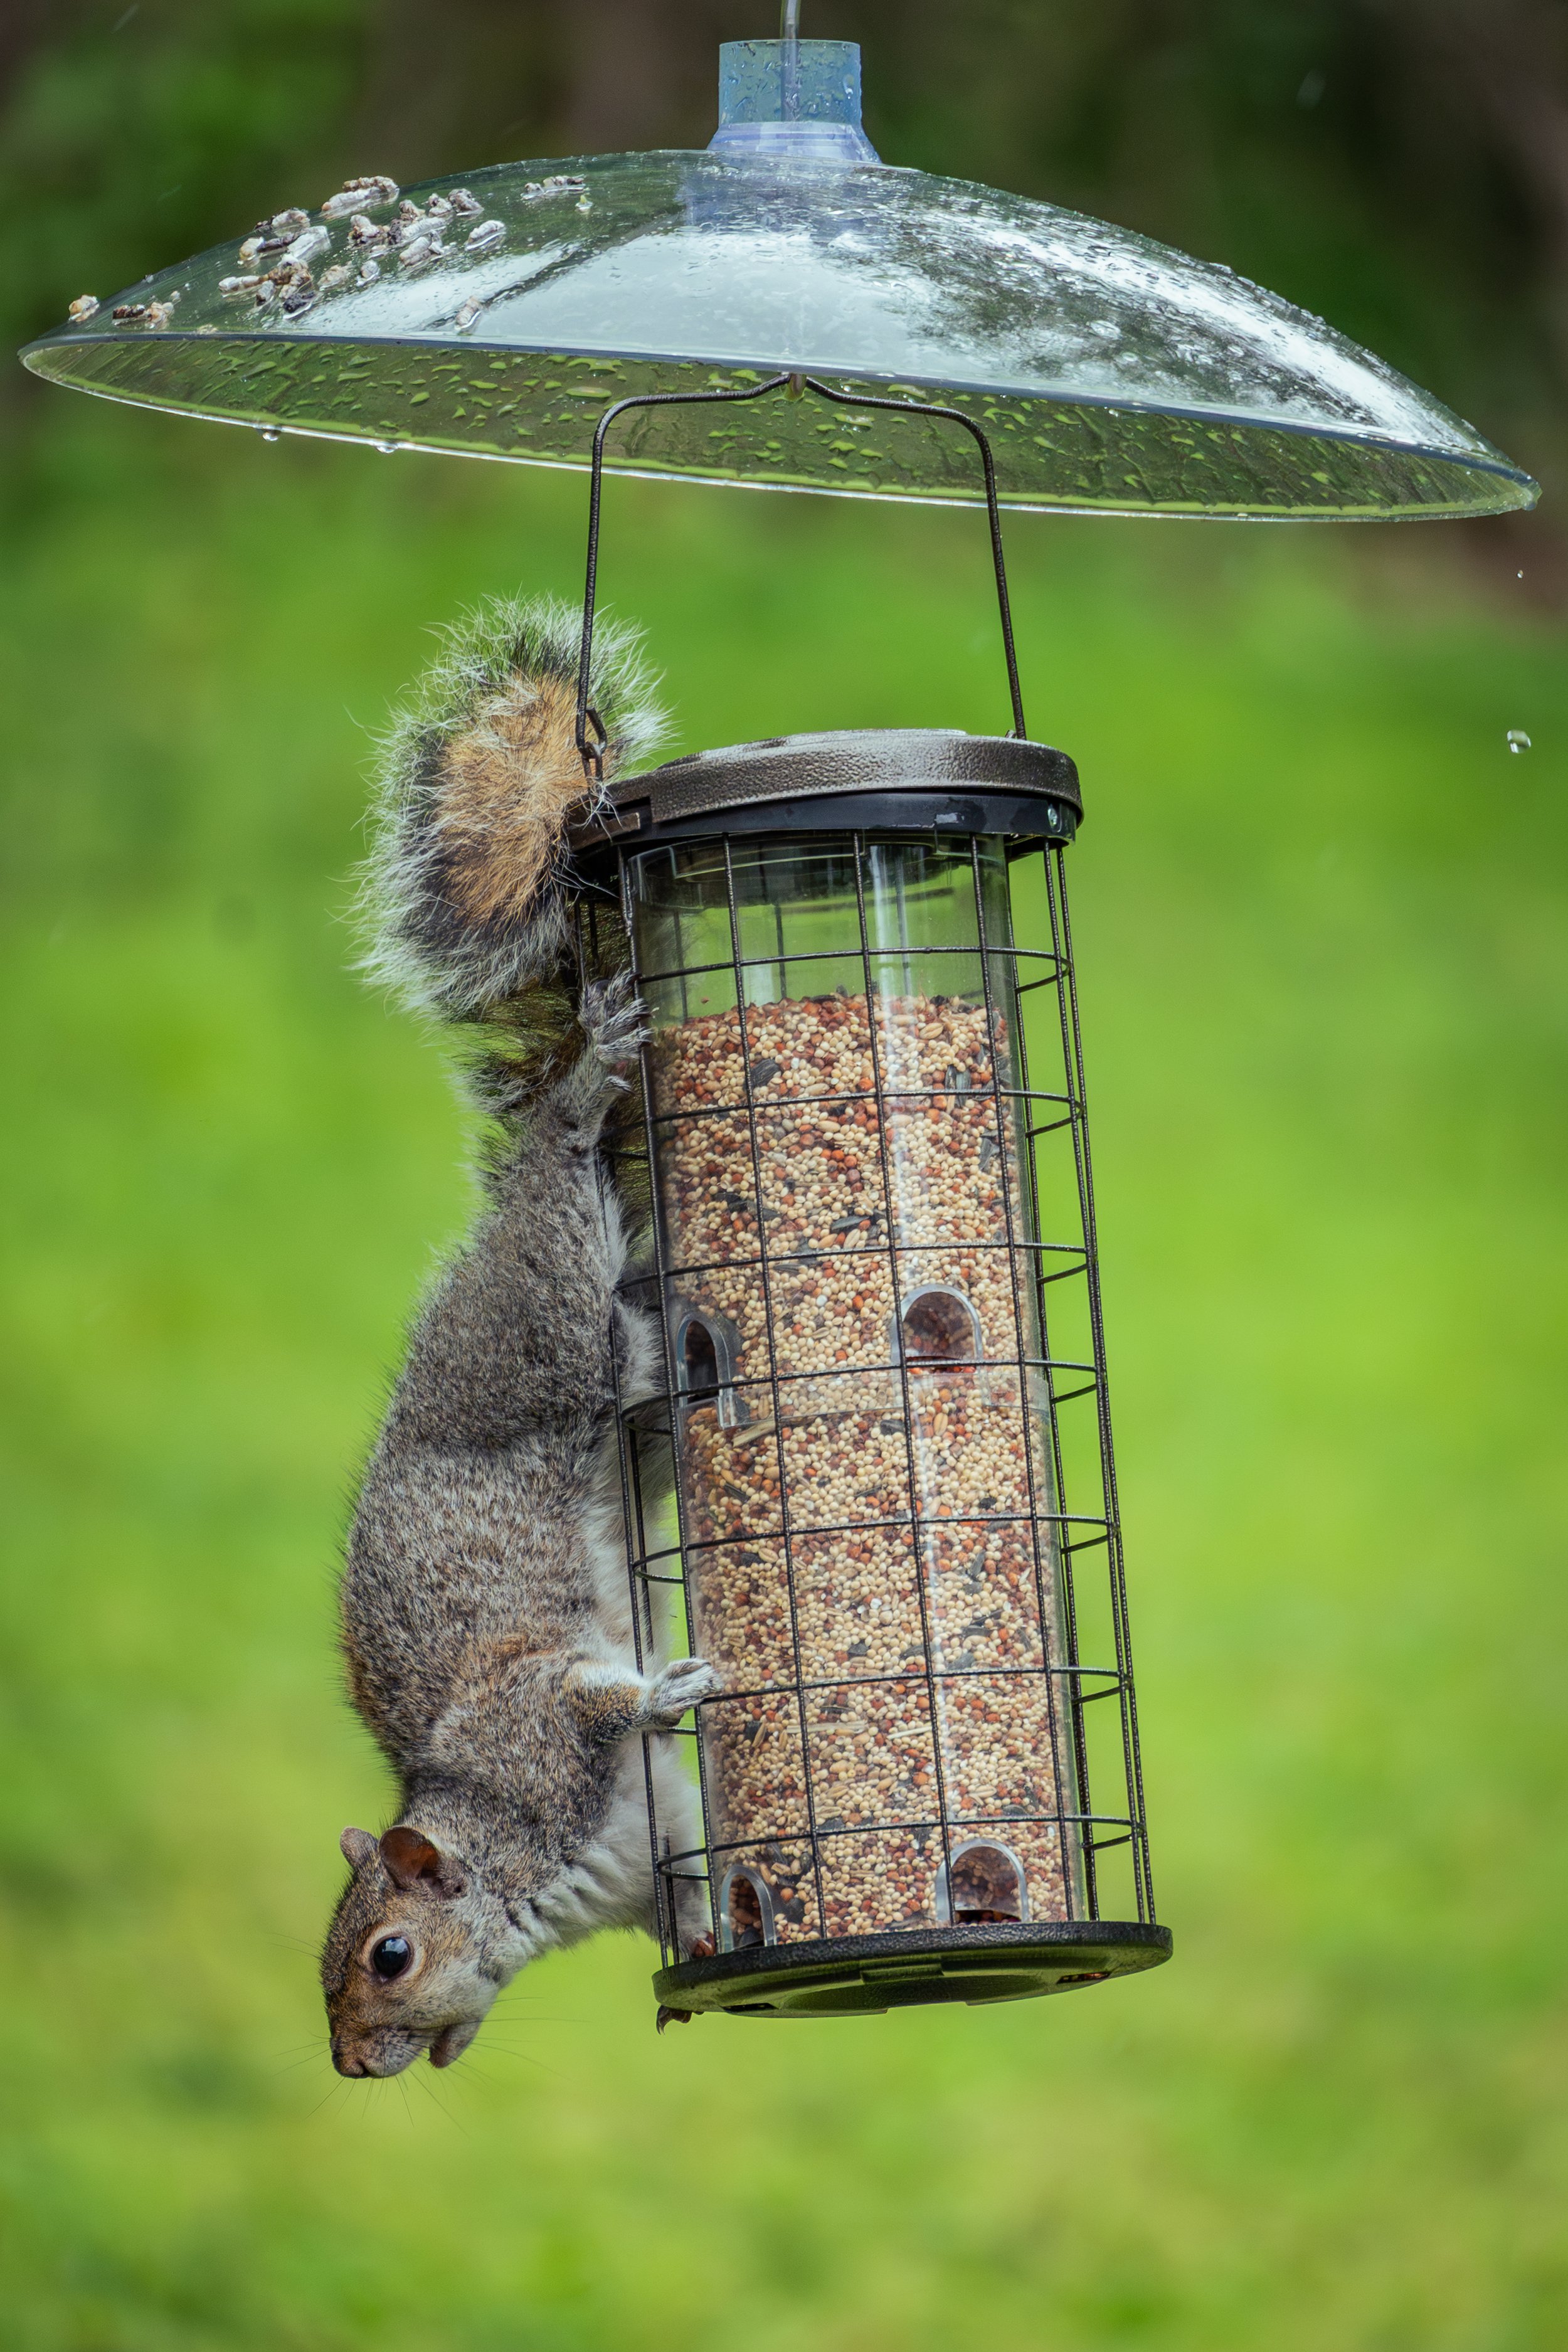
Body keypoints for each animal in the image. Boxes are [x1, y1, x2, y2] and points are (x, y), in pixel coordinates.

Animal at [322, 597, 717, 2079]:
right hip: (628, 1399)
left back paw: (588, 1087)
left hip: (543, 1326)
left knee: (562, 1175)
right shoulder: (644, 1853)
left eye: (388, 1954)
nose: (349, 2064)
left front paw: (665, 1692)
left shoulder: (533, 1716)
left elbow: (595, 1700)